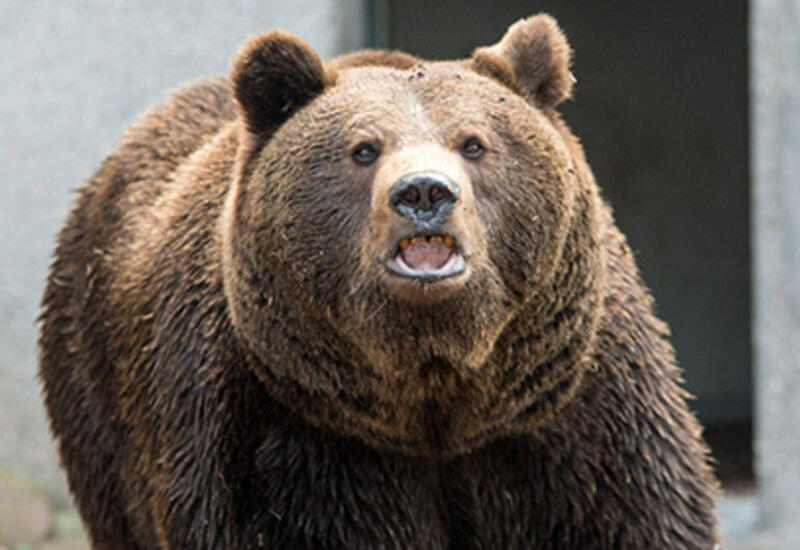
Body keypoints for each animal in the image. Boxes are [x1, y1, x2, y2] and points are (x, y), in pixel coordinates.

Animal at [39, 13, 719, 549]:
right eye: (364, 149)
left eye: (474, 143)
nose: (423, 193)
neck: (436, 399)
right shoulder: (278, 439)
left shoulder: (576, 415)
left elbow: (635, 510)